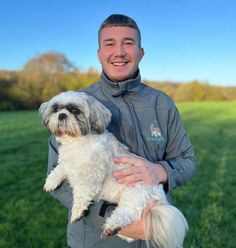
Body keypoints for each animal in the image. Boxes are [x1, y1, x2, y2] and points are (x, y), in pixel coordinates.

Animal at [39, 91, 189, 248]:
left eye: (75, 111)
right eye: (56, 109)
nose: (62, 115)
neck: (76, 142)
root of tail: (160, 200)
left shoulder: (90, 176)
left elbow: (81, 195)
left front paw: (77, 213)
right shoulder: (67, 162)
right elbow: (59, 169)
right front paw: (50, 182)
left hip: (134, 194)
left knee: (127, 213)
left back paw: (112, 226)